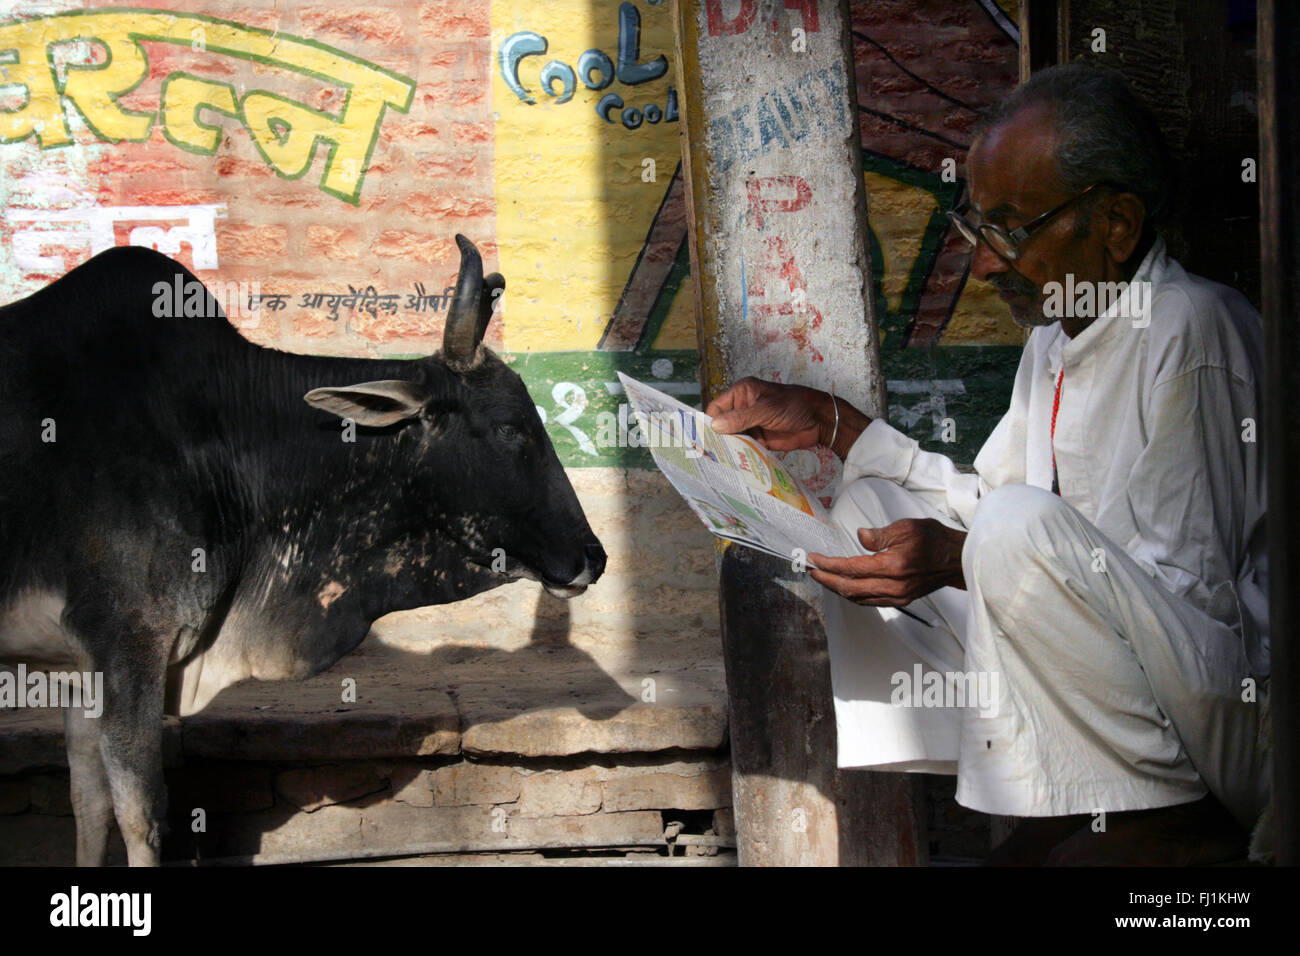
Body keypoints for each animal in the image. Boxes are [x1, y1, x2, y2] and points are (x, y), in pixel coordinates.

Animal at [0, 235, 605, 863]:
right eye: (510, 428)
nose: (594, 556)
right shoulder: (128, 639)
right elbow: (141, 816)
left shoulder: (80, 667)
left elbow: (89, 806)